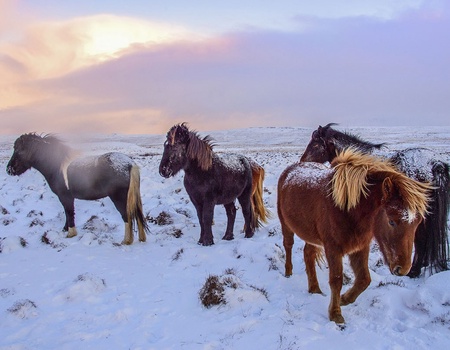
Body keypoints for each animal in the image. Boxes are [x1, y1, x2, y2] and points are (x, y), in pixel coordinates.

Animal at [6, 133, 148, 245]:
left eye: (19, 150)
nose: (9, 169)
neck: (56, 165)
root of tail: (130, 164)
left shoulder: (65, 196)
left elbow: (69, 212)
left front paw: (70, 233)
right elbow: (67, 213)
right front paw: (65, 229)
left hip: (119, 198)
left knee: (127, 216)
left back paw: (126, 241)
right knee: (138, 216)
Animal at [278, 149, 432, 324]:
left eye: (417, 223)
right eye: (392, 221)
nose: (403, 269)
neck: (347, 210)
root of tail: (290, 169)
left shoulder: (360, 247)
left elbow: (364, 279)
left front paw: (345, 299)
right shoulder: (333, 249)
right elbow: (336, 279)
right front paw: (335, 314)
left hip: (312, 235)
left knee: (308, 254)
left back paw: (315, 289)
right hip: (286, 225)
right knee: (288, 245)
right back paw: (289, 272)